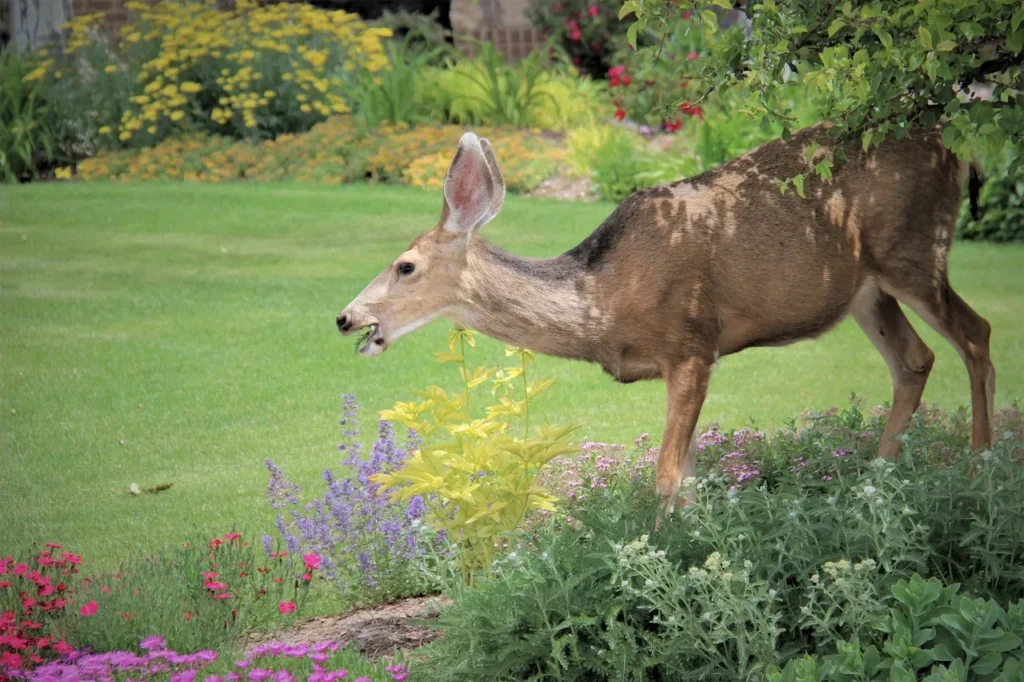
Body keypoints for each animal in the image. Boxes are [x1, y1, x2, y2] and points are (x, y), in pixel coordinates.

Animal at [335, 122, 991, 522]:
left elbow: (668, 478)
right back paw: (876, 483)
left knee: (974, 335)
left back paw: (980, 466)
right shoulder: (684, 362)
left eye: (406, 265)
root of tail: (957, 148)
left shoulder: (693, 344)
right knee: (916, 360)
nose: (345, 318)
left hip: (914, 249)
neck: (601, 299)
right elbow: (693, 480)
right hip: (865, 290)